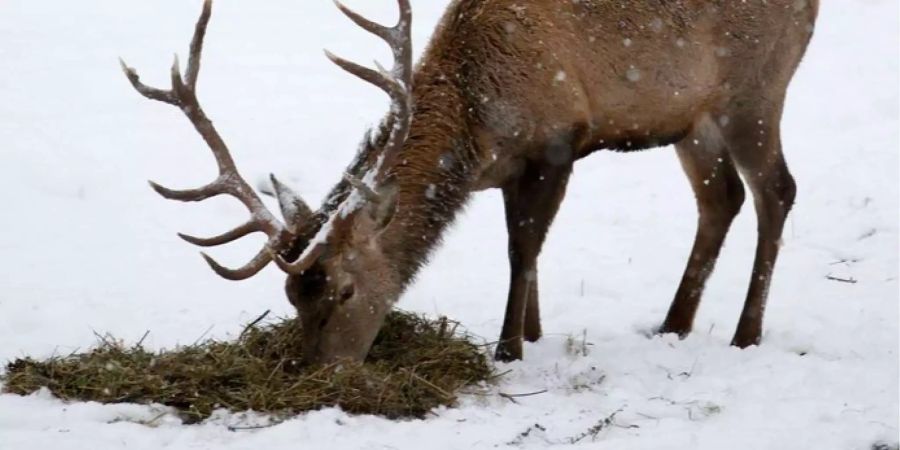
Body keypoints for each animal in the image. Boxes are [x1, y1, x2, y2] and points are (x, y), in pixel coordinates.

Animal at [123, 0, 820, 362]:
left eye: (345, 291)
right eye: (294, 297)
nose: (317, 373)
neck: (478, 120)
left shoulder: (558, 142)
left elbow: (523, 248)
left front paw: (509, 348)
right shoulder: (505, 170)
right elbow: (525, 254)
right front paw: (533, 332)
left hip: (756, 90)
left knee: (777, 191)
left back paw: (746, 333)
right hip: (691, 119)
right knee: (721, 198)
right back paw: (672, 325)